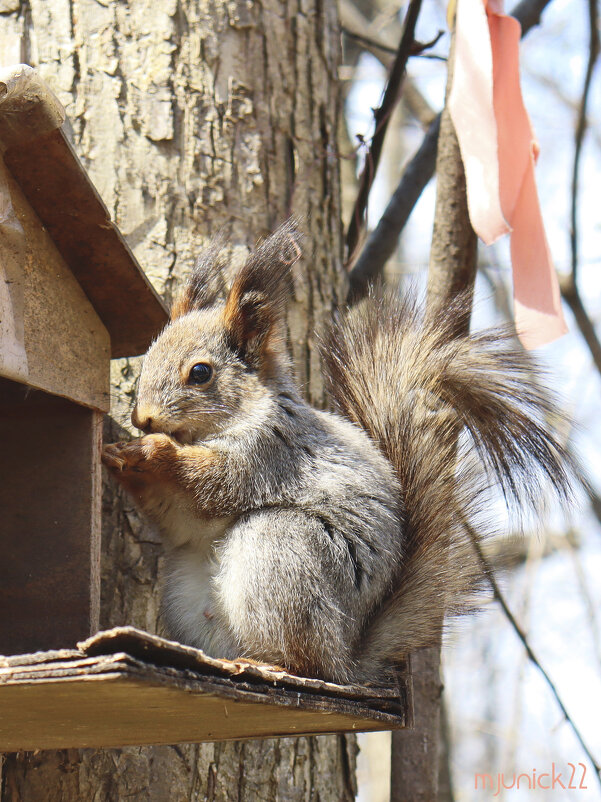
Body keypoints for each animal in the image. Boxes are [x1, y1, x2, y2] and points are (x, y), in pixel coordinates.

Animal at [102, 222, 572, 684]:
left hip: (283, 551)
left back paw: (275, 664)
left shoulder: (270, 452)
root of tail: (347, 657)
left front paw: (153, 451)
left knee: (306, 660)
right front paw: (120, 455)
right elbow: (180, 518)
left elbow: (215, 485)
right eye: (146, 355)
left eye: (200, 373)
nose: (142, 418)